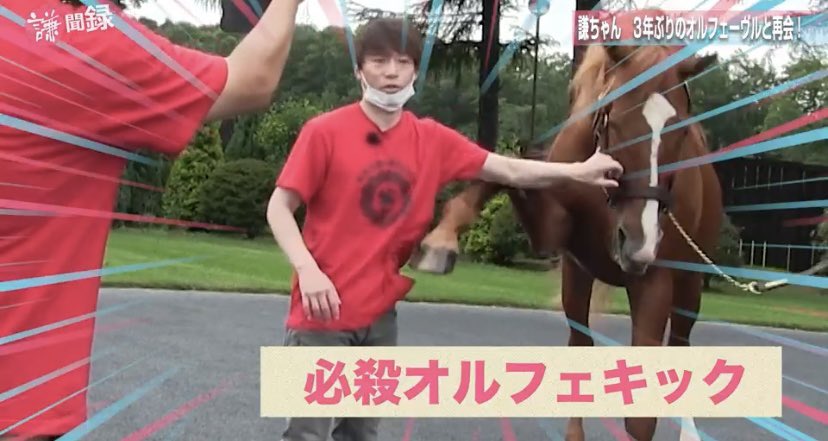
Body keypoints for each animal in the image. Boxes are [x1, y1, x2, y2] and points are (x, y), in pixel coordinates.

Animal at [409, 43, 723, 441]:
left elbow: (640, 420)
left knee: (681, 343)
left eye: (681, 132)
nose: (640, 243)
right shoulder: (555, 238)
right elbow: (509, 170)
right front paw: (440, 242)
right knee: (581, 341)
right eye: (613, 119)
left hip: (689, 283)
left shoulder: (655, 281)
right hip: (580, 277)